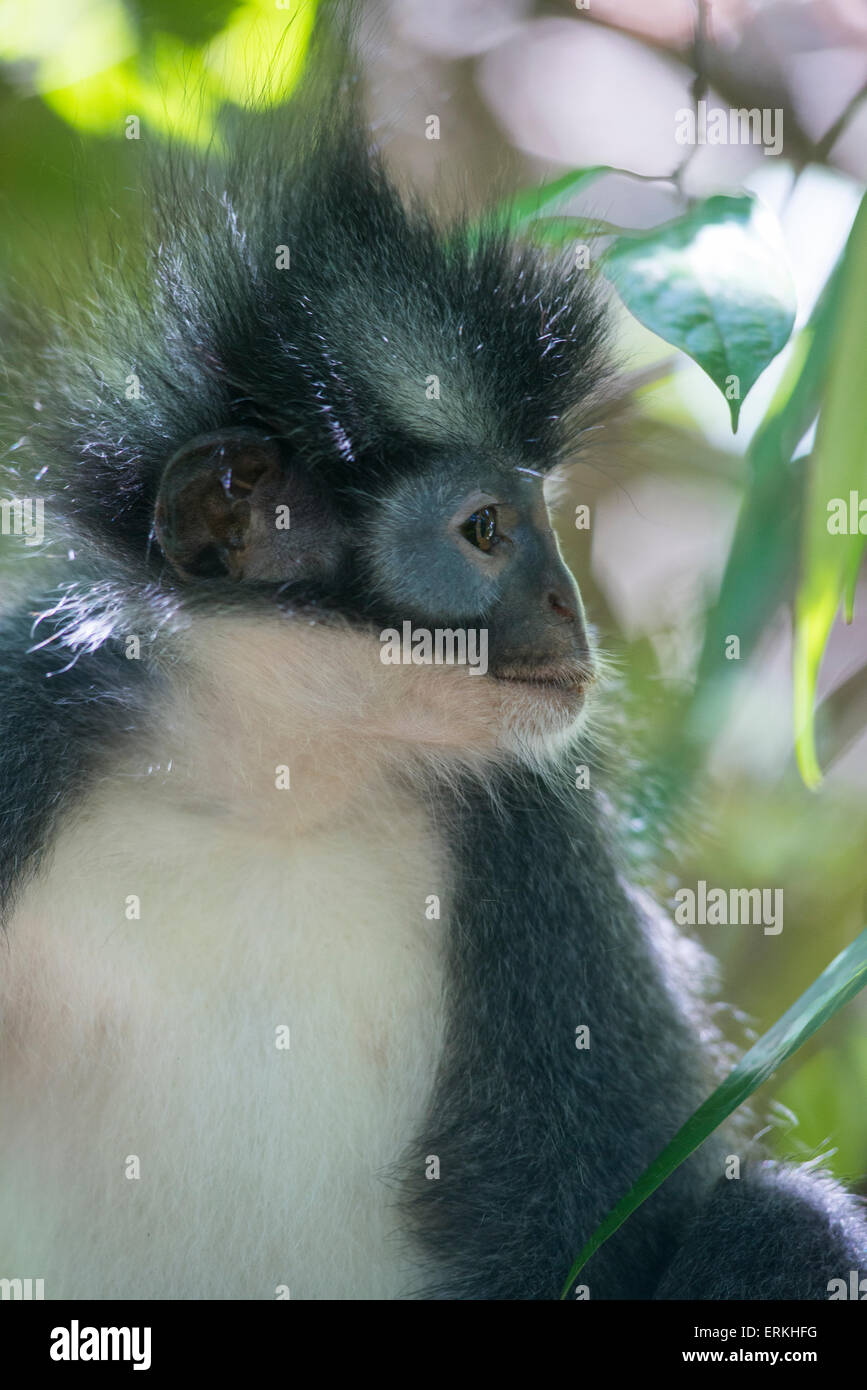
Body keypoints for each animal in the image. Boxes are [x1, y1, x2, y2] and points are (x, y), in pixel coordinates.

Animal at [0, 46, 865, 1303]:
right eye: (488, 530)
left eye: (542, 517)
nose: (569, 606)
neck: (272, 783)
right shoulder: (30, 721)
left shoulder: (535, 839)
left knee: (788, 1223)